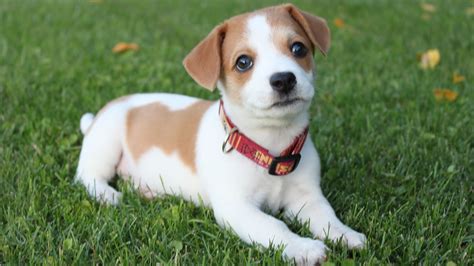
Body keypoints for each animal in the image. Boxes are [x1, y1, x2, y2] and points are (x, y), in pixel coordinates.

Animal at [77, 4, 366, 264]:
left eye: (298, 48)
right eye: (243, 62)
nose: (283, 79)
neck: (269, 146)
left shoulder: (306, 197)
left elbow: (326, 216)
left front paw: (345, 234)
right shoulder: (236, 208)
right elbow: (274, 226)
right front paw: (303, 248)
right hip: (106, 143)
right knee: (87, 176)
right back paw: (107, 194)